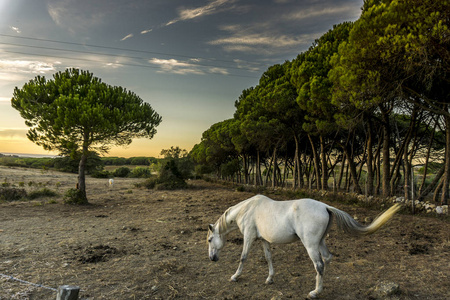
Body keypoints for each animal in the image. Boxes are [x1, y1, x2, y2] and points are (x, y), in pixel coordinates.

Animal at [207, 193, 400, 298]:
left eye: (209, 240)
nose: (212, 258)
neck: (247, 209)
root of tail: (325, 206)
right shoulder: (264, 240)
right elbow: (268, 258)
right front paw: (270, 278)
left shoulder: (248, 237)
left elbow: (243, 258)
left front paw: (235, 276)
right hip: (319, 242)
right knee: (327, 259)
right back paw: (321, 286)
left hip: (310, 244)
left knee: (319, 264)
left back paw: (315, 292)